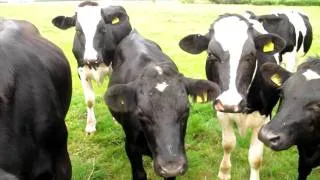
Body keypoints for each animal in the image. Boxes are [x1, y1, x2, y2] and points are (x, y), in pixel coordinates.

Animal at [51, 0, 112, 134]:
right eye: (78, 30)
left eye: (103, 29)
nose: (91, 59)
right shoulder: (81, 71)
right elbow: (89, 100)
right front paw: (90, 125)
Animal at [179, 13, 286, 179]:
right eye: (211, 54)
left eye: (251, 54)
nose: (231, 103)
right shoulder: (221, 111)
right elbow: (228, 144)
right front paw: (224, 172)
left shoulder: (263, 118)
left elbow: (255, 158)